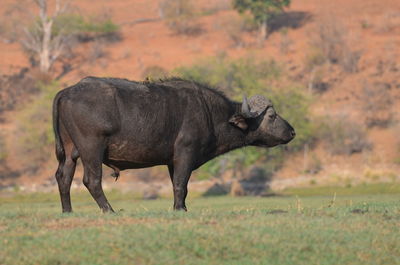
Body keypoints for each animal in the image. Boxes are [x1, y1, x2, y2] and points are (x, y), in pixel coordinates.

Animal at [52, 75, 294, 211]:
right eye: (272, 116)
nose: (292, 131)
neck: (210, 113)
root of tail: (67, 91)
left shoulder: (172, 161)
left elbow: (179, 186)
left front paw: (182, 207)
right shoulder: (185, 154)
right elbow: (181, 184)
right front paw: (179, 209)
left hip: (71, 153)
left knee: (63, 178)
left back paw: (68, 211)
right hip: (91, 149)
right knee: (91, 181)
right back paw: (109, 210)